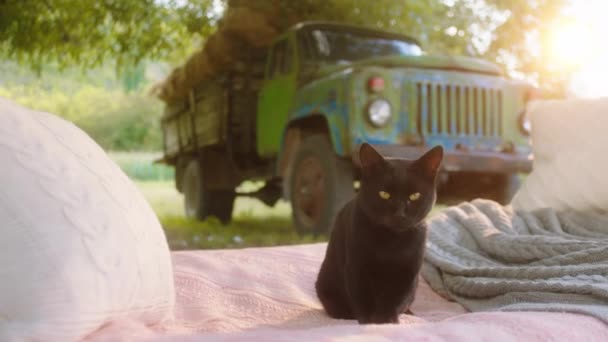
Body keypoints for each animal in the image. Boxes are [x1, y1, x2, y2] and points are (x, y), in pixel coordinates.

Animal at [314, 143, 442, 324]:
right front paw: (369, 321)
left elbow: (395, 299)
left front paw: (386, 320)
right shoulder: (357, 268)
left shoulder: (407, 273)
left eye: (414, 196)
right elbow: (363, 298)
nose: (400, 214)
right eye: (384, 194)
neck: (391, 242)